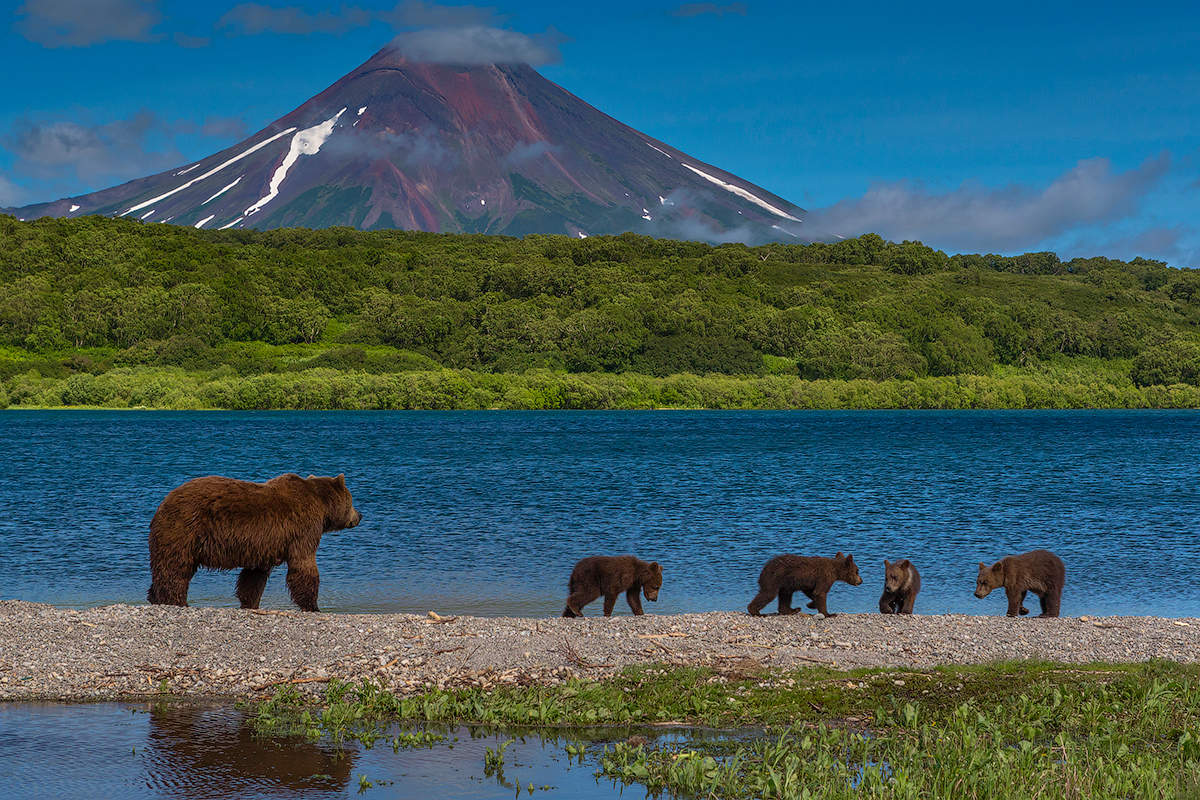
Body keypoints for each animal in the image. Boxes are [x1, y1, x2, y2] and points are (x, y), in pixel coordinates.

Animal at [147, 470, 360, 614]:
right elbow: (303, 565)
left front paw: (250, 603)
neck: (323, 507)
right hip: (184, 529)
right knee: (176, 568)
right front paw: (313, 606)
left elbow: (254, 577)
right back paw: (177, 601)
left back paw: (155, 597)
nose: (360, 516)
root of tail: (163, 502)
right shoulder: (304, 529)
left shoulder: (262, 546)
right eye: (352, 501)